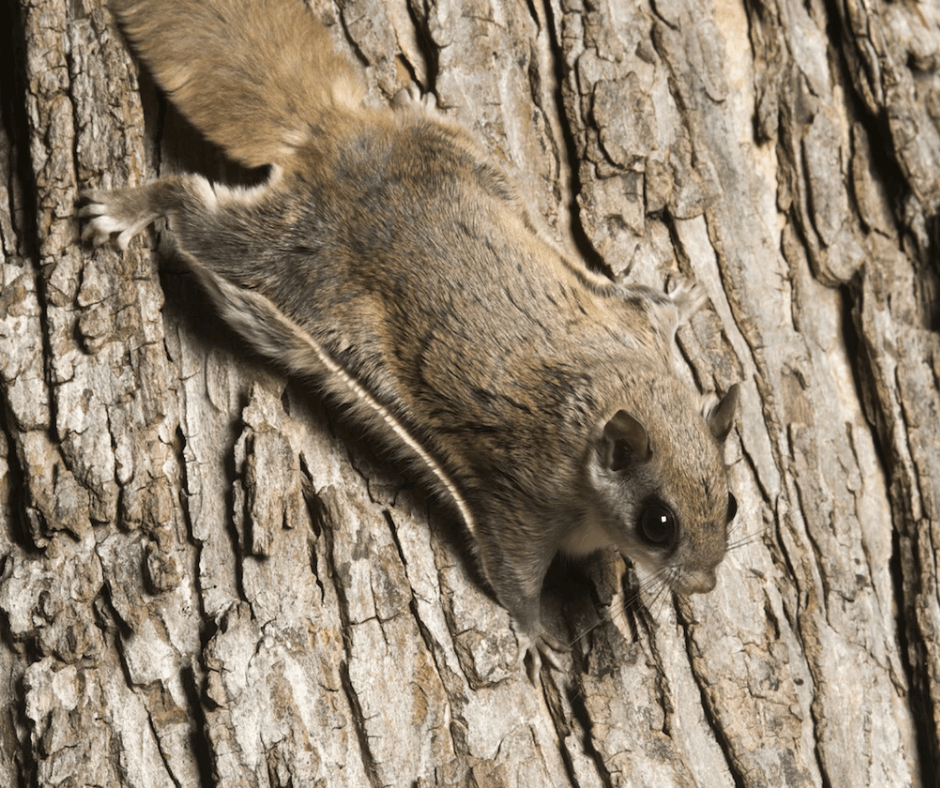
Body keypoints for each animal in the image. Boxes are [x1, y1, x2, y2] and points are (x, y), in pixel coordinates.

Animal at [81, 0, 740, 680]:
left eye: (732, 504)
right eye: (659, 523)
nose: (704, 584)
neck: (605, 395)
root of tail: (329, 134)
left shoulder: (629, 329)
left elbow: (650, 308)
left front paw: (684, 302)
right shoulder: (522, 498)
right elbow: (513, 575)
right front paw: (535, 635)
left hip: (458, 153)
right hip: (280, 254)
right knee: (193, 208)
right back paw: (133, 208)